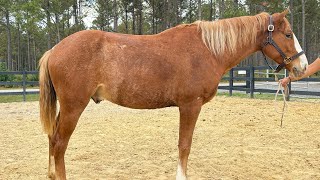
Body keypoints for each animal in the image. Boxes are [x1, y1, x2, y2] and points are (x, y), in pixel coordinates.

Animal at [39, 10, 308, 180]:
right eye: (288, 34)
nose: (302, 67)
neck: (208, 49)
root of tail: (55, 49)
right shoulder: (190, 106)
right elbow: (184, 145)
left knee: (53, 138)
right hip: (74, 106)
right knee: (60, 143)